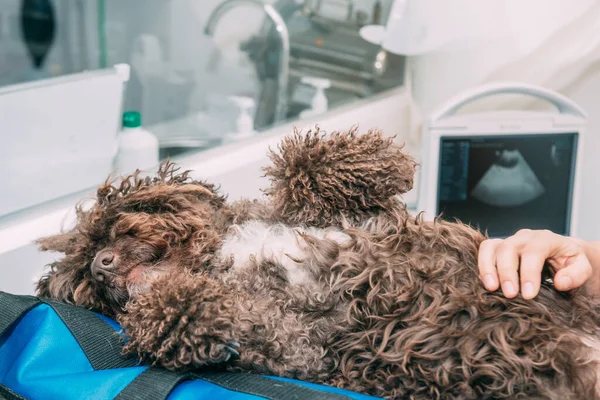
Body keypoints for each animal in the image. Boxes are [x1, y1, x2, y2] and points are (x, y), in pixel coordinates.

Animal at [36, 127, 600, 396]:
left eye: (108, 229)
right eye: (86, 279)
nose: (103, 264)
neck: (221, 260)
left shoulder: (366, 218)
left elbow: (306, 164)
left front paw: (365, 160)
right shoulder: (294, 343)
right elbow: (180, 316)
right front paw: (175, 310)